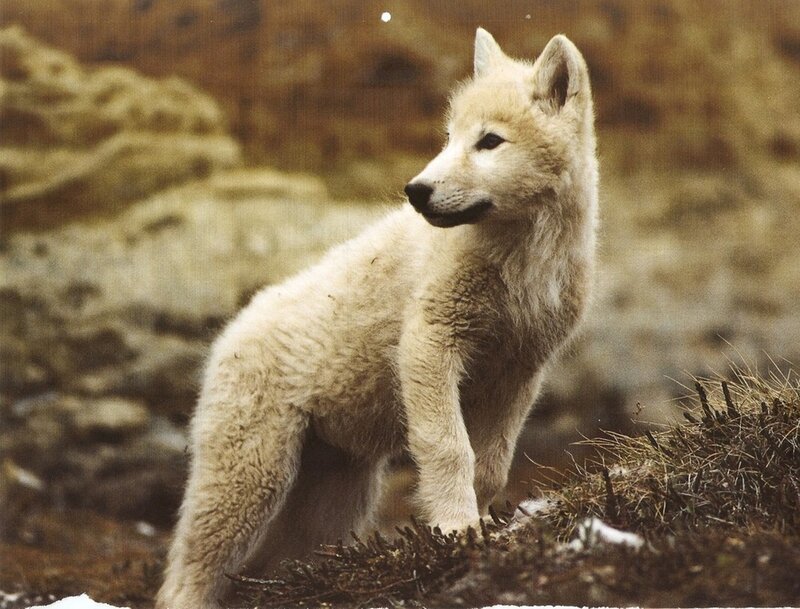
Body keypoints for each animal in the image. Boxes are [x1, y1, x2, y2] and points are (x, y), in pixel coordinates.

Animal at [158, 28, 598, 609]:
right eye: (449, 136)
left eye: (490, 141)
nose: (417, 191)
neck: (523, 260)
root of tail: (233, 328)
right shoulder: (431, 341)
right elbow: (448, 447)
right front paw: (455, 531)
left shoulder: (519, 371)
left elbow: (492, 466)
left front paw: (480, 531)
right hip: (251, 473)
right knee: (190, 569)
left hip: (334, 494)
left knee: (275, 560)